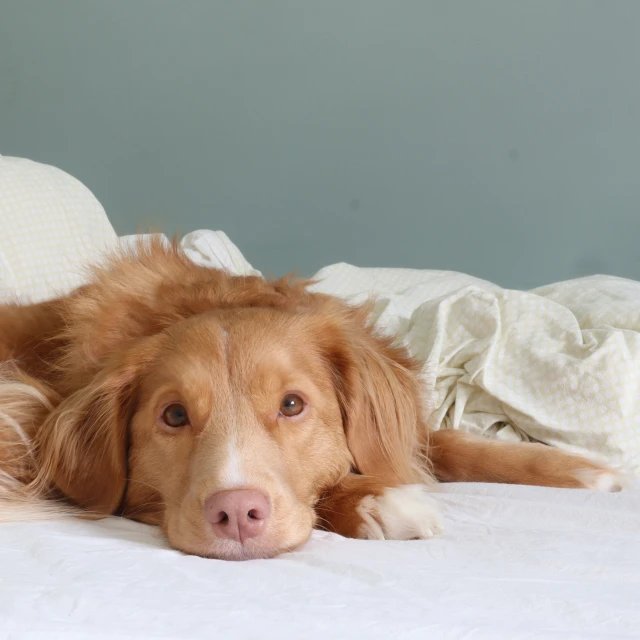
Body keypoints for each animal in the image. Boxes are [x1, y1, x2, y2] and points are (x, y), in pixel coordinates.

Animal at [0, 239, 624, 560]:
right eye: (173, 416)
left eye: (292, 406)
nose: (236, 514)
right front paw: (375, 500)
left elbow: (445, 443)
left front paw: (580, 470)